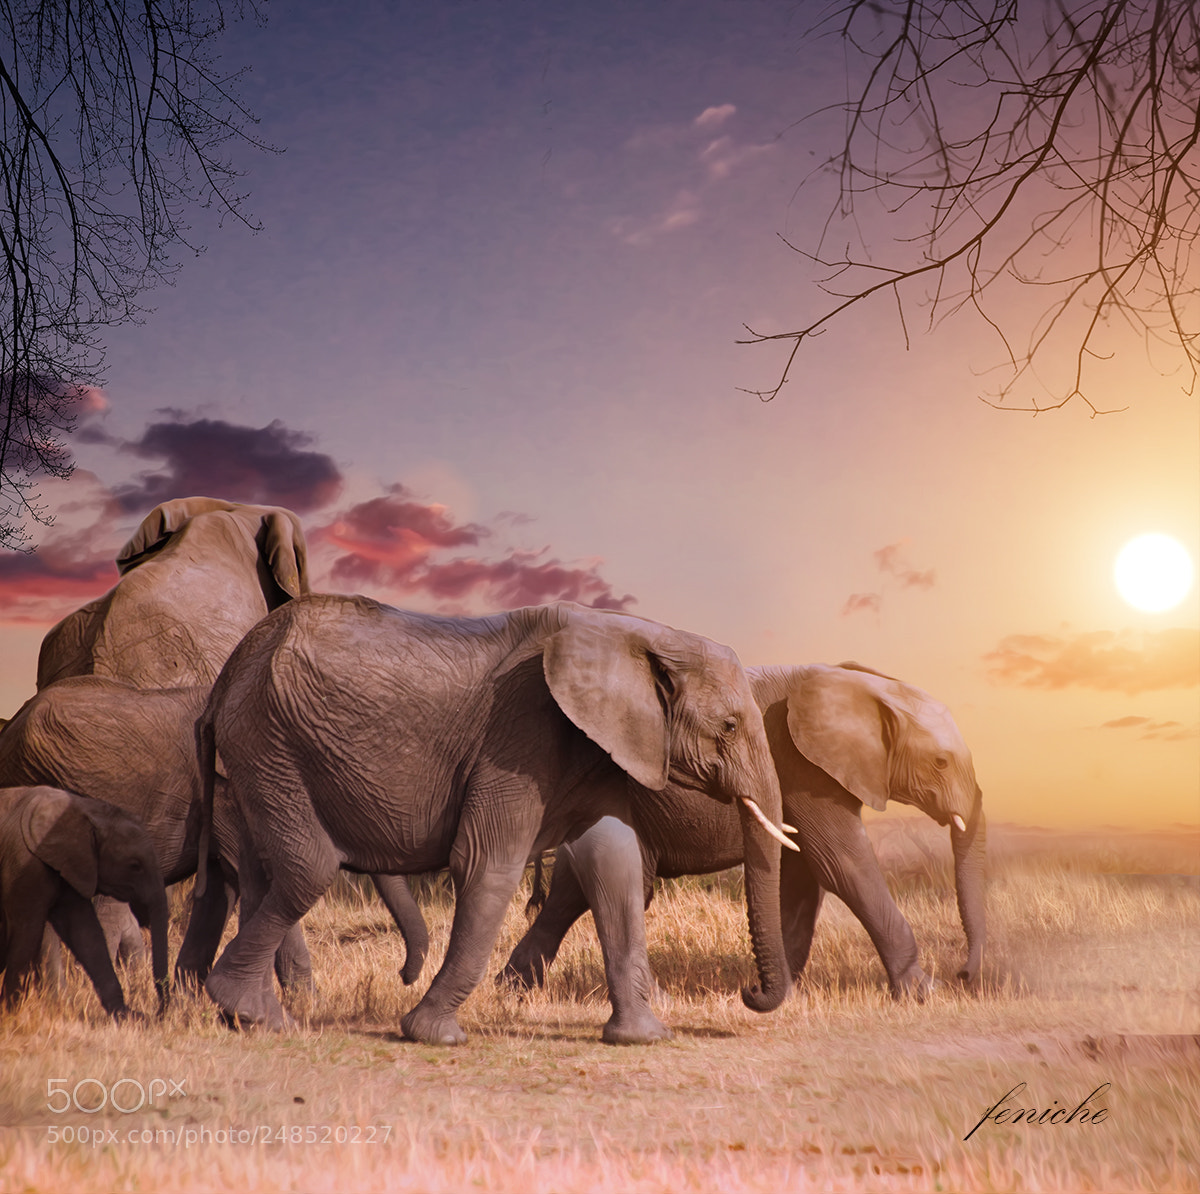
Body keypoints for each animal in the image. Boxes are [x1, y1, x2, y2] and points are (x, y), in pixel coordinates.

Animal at [0, 785, 169, 1017]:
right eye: (135, 865)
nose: (156, 1012)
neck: (86, 811)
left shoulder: (73, 866)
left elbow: (85, 932)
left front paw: (127, 1017)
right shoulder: (25, 864)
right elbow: (28, 932)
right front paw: (11, 1014)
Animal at [198, 595, 795, 1046]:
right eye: (729, 726)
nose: (748, 993)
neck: (638, 632)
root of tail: (229, 669)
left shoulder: (600, 745)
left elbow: (614, 863)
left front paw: (643, 1039)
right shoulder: (518, 735)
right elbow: (489, 864)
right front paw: (433, 1036)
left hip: (260, 752)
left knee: (261, 872)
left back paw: (254, 1018)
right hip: (272, 740)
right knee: (308, 868)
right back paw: (248, 1010)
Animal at [503, 663, 986, 1003]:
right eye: (941, 762)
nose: (964, 975)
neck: (863, 686)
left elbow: (804, 879)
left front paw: (788, 992)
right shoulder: (806, 770)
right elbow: (843, 864)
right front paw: (924, 994)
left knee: (571, 892)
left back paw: (512, 991)